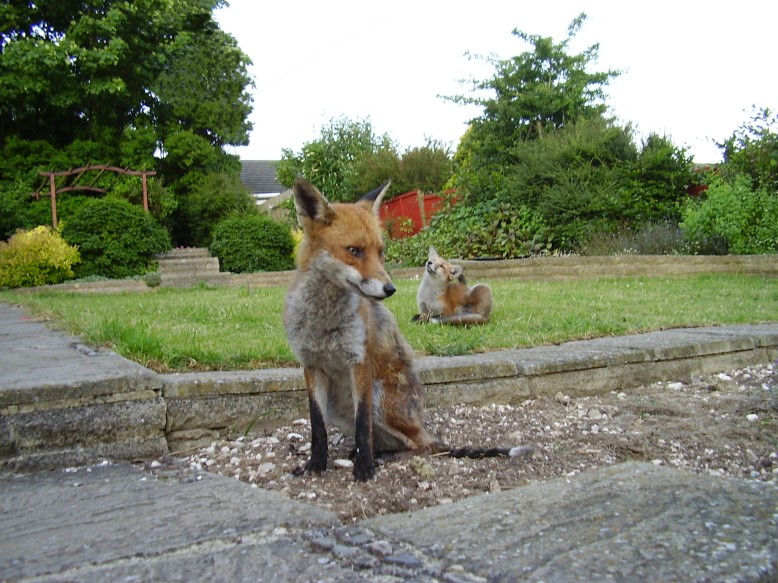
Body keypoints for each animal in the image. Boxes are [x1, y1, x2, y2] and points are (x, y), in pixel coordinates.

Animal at [280, 180, 520, 482]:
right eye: (354, 250)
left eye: (381, 251)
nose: (390, 289)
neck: (324, 323)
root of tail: (421, 425)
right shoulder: (311, 365)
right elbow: (317, 426)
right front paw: (315, 464)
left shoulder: (360, 362)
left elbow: (362, 426)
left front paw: (365, 468)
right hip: (338, 408)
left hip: (379, 399)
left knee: (419, 446)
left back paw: (383, 457)